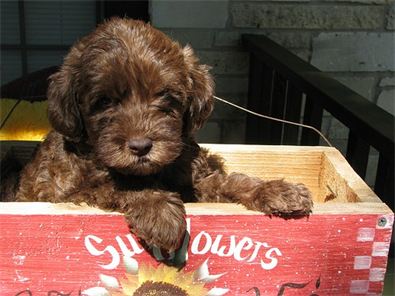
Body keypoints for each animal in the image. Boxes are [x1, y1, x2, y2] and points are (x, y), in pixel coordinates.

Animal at [15, 17, 314, 252]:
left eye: (166, 97)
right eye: (104, 102)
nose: (140, 146)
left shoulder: (193, 181)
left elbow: (229, 182)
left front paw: (277, 190)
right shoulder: (68, 193)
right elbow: (118, 185)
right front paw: (160, 212)